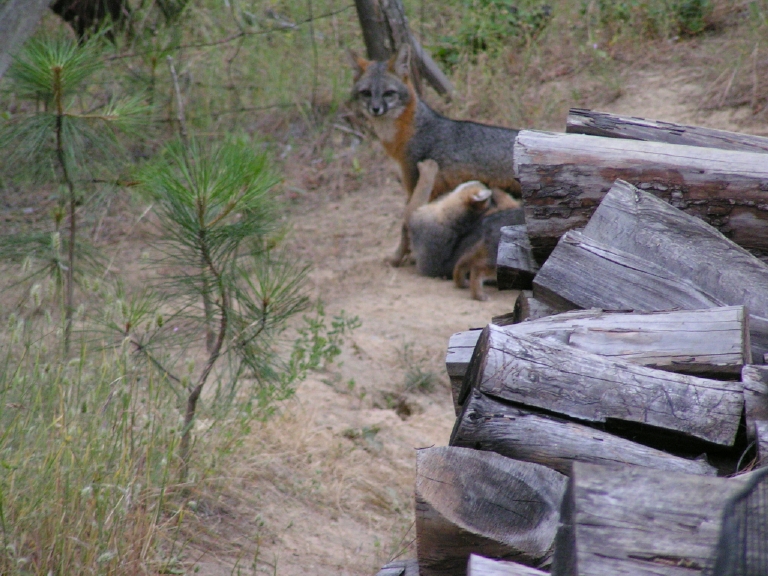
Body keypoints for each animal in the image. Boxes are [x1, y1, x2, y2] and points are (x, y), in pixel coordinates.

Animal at [350, 44, 520, 266]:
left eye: (388, 93)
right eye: (366, 93)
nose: (375, 108)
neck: (413, 131)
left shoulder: (415, 185)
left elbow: (405, 224)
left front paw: (399, 257)